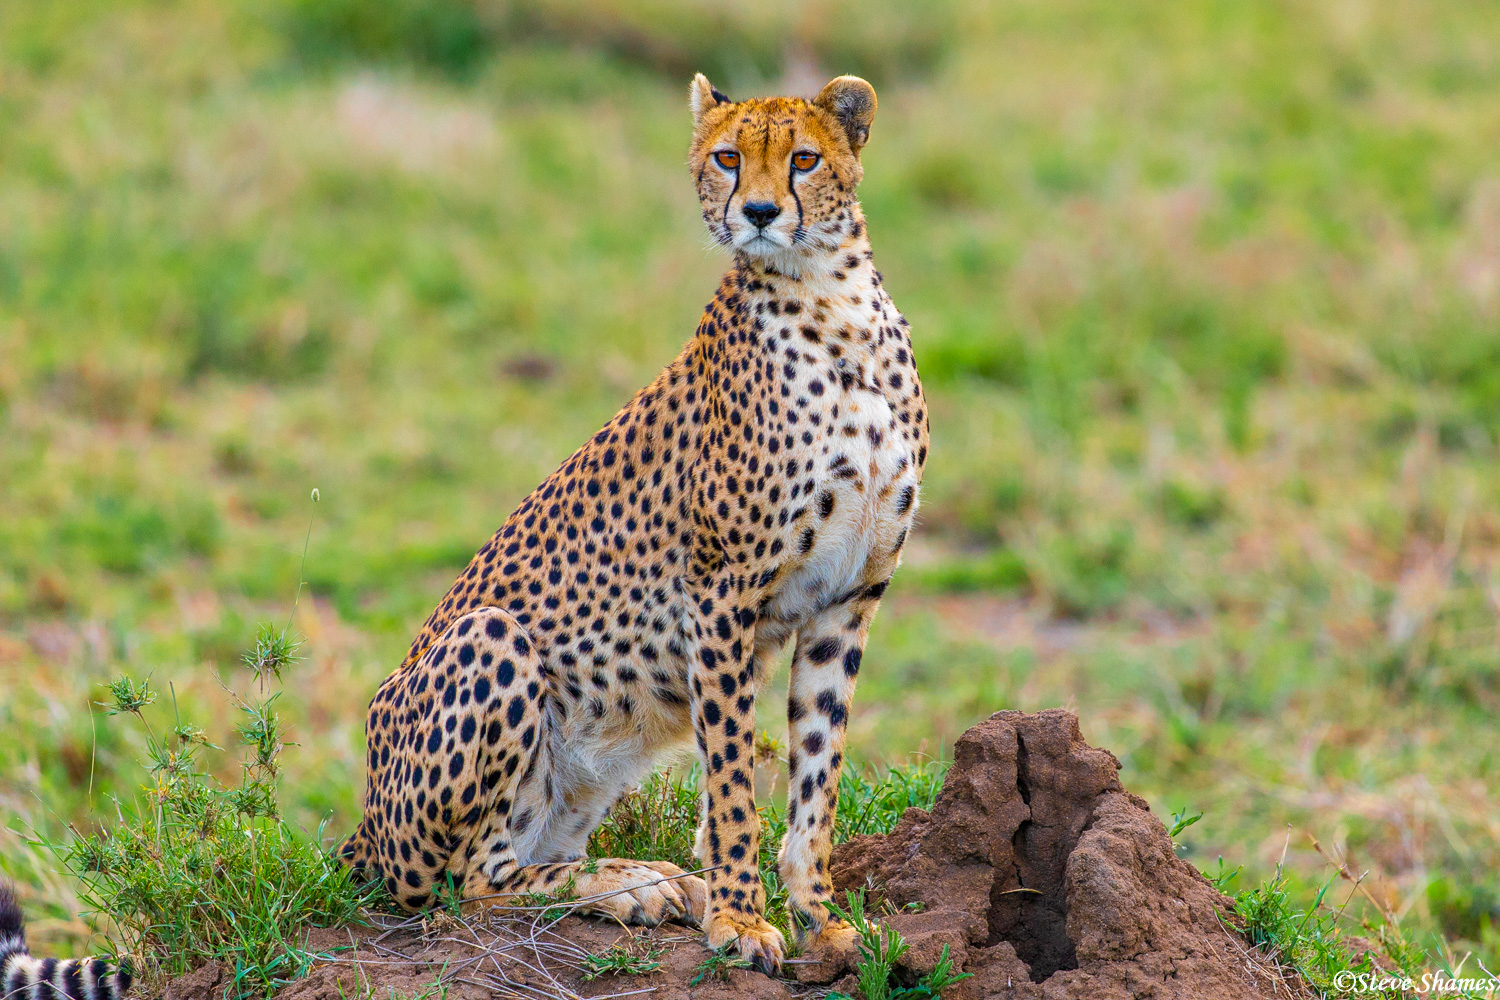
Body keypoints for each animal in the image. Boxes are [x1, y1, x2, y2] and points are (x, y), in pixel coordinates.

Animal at [340, 72, 924, 977]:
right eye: (727, 158)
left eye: (802, 158)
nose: (759, 212)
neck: (829, 297)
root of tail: (367, 827)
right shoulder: (719, 598)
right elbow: (732, 783)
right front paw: (739, 921)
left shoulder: (847, 600)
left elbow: (815, 779)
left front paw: (820, 919)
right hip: (490, 636)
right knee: (469, 882)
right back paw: (637, 885)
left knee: (530, 852)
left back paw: (644, 882)